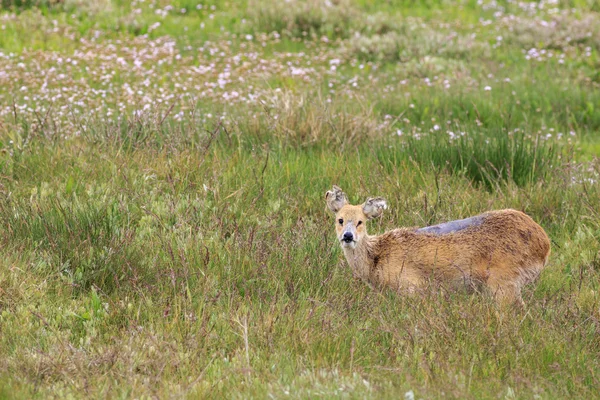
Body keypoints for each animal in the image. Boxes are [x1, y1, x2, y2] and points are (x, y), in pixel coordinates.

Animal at [326, 185, 552, 306]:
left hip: (504, 281)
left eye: (360, 222)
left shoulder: (411, 287)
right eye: (339, 220)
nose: (348, 236)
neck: (377, 256)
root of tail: (544, 243)